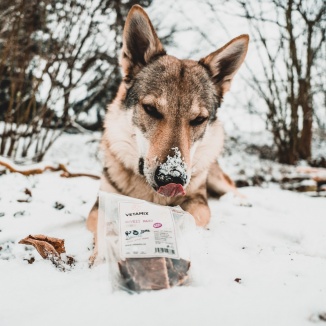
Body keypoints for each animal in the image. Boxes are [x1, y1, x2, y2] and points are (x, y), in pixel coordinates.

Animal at [86, 5, 247, 252]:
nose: (172, 178)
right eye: (151, 109)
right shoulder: (100, 203)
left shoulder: (198, 202)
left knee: (233, 189)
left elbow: (190, 217)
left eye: (198, 119)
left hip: (215, 177)